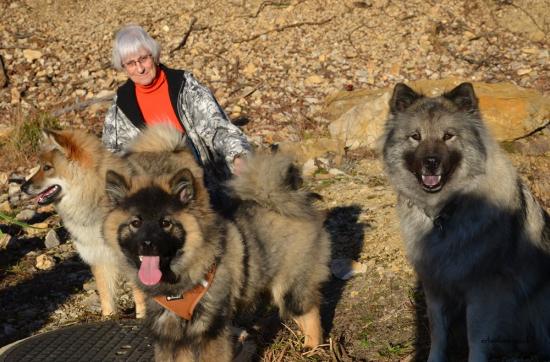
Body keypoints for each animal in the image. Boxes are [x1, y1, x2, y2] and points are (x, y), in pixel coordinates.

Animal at [382, 82, 550, 362]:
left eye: (448, 136)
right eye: (416, 136)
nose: (431, 163)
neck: (444, 212)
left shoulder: (482, 292)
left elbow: (476, 339)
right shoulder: (435, 288)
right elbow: (437, 333)